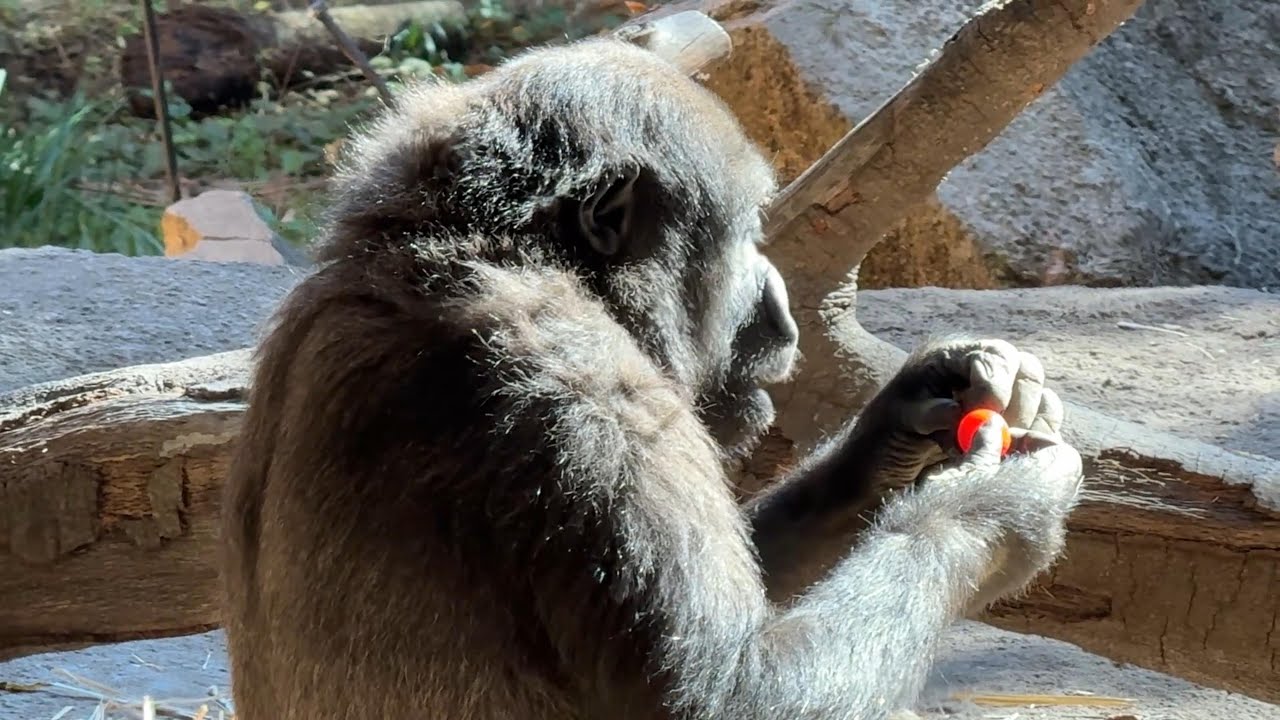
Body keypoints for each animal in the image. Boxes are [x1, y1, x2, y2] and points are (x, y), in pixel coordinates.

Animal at [219, 35, 1084, 720]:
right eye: (748, 233)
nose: (779, 307)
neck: (503, 253)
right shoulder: (589, 400)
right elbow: (731, 698)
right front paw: (996, 507)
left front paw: (903, 424)